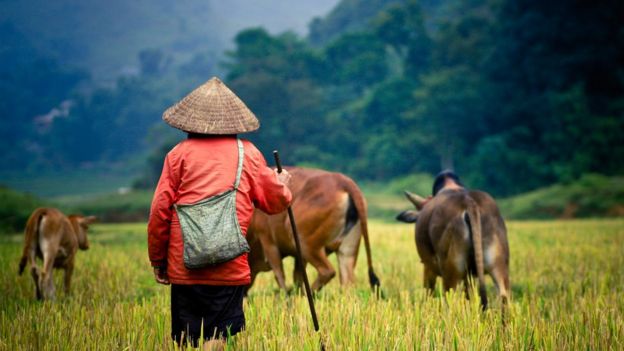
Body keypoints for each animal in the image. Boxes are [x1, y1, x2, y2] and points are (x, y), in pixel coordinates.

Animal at [246, 168, 378, 294]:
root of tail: (343, 181)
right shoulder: (298, 256)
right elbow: (297, 277)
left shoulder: (268, 241)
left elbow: (279, 275)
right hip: (347, 251)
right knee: (348, 283)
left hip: (304, 242)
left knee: (327, 271)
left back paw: (308, 294)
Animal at [398, 171, 510, 310]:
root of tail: (469, 203)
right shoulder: (469, 276)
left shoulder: (428, 266)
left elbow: (428, 293)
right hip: (498, 265)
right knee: (503, 296)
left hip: (450, 271)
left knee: (450, 300)